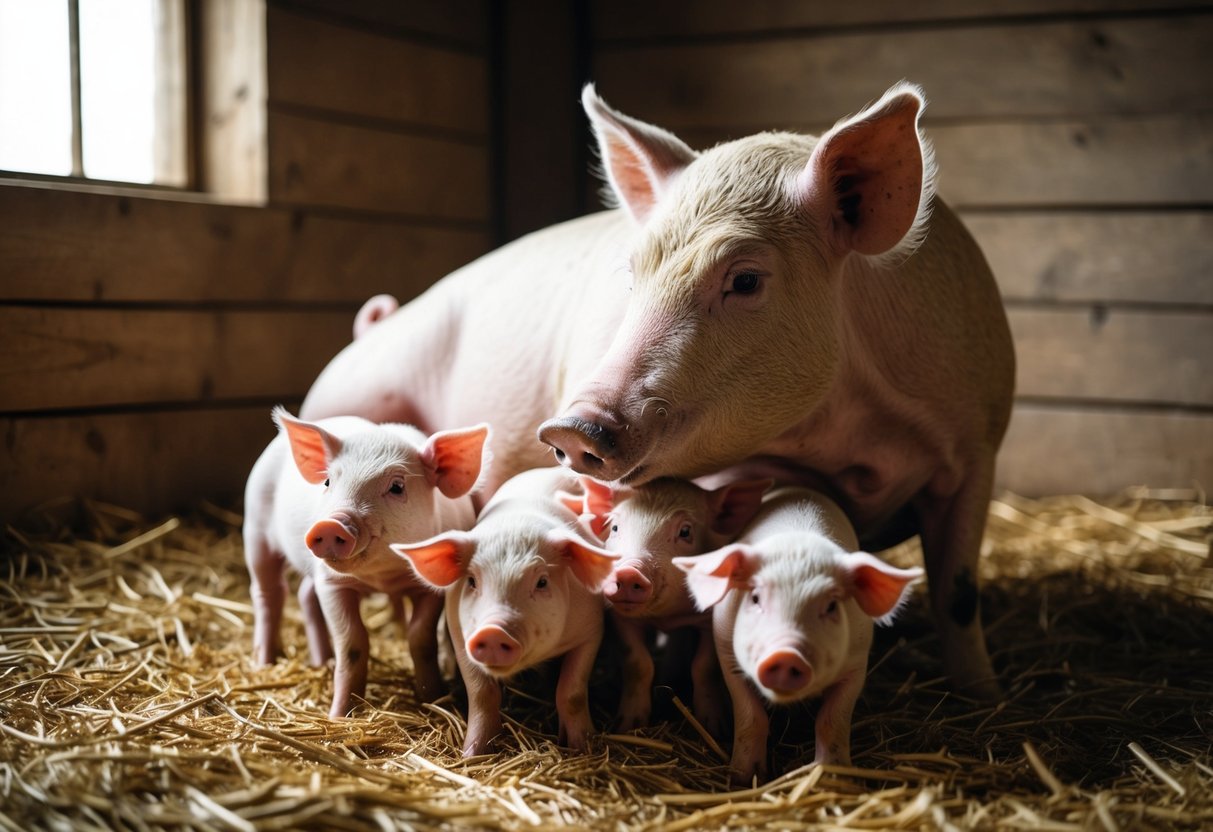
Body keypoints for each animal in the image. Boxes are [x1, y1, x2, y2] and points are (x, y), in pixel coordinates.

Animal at [242, 407, 489, 718]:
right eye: (328, 482)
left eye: (396, 487)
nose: (329, 525)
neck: (382, 577)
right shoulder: (332, 584)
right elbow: (352, 643)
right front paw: (339, 715)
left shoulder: (431, 588)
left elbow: (420, 638)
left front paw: (433, 699)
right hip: (255, 529)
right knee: (268, 593)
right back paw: (265, 663)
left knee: (304, 594)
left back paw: (322, 662)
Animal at [300, 82, 1015, 699]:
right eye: (633, 274)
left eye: (746, 279)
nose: (570, 428)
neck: (842, 435)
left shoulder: (978, 446)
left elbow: (959, 592)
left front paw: (985, 696)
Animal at [391, 467, 617, 757]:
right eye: (472, 581)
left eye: (542, 582)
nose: (493, 631)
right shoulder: (459, 633)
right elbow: (481, 694)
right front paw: (471, 754)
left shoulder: (591, 630)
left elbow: (572, 693)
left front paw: (584, 748)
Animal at [576, 476, 770, 733]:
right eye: (615, 528)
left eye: (685, 531)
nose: (629, 573)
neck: (665, 617)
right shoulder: (622, 619)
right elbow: (638, 662)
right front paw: (627, 725)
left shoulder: (707, 620)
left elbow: (704, 667)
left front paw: (714, 726)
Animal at [675, 487, 923, 785]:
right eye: (755, 597)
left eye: (831, 606)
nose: (786, 654)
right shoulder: (726, 650)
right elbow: (751, 716)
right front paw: (745, 777)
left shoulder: (857, 662)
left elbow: (832, 721)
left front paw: (836, 776)